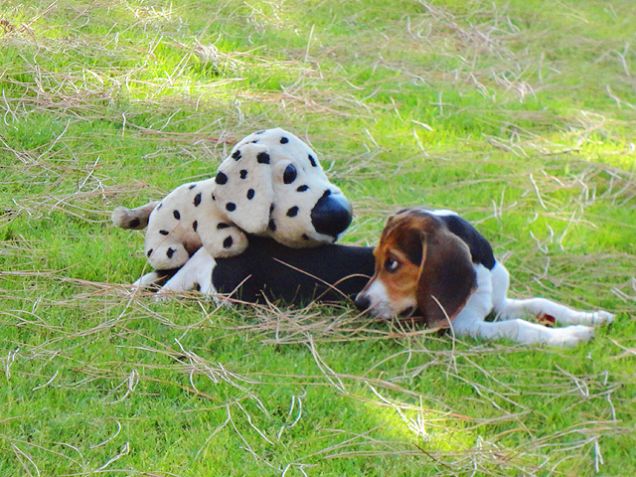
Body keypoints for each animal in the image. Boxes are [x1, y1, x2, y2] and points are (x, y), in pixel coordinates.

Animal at [137, 208, 612, 346]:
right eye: (377, 259)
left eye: (394, 262)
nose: (361, 304)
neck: (480, 274)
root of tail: (209, 255)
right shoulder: (462, 326)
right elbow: (519, 326)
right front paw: (570, 338)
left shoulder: (498, 303)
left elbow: (538, 304)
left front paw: (593, 317)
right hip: (232, 294)